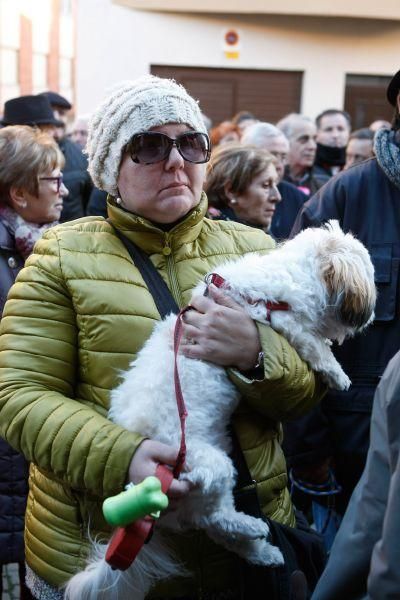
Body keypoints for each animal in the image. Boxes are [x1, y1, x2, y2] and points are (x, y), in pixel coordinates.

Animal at [65, 221, 376, 600]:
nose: (371, 314)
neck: (292, 273)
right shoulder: (282, 320)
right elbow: (316, 346)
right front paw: (338, 374)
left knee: (217, 527)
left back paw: (264, 551)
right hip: (210, 464)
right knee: (217, 520)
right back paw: (253, 527)